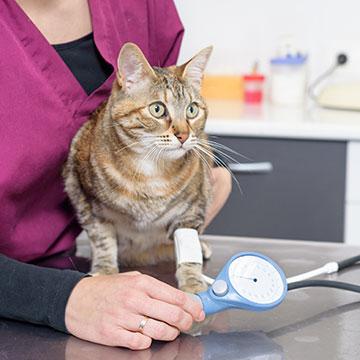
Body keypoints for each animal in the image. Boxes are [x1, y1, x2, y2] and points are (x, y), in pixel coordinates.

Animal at [63, 42, 214, 294]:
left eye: (192, 110)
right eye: (157, 109)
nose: (183, 135)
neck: (150, 171)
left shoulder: (193, 207)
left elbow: (188, 245)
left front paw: (193, 280)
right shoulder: (83, 195)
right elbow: (102, 240)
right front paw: (104, 272)